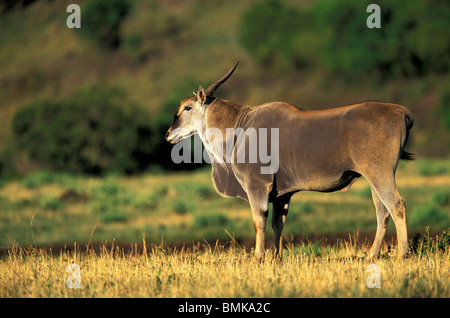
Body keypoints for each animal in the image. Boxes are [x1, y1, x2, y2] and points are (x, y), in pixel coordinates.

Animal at [166, 60, 414, 262]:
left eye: (187, 107)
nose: (169, 134)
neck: (240, 126)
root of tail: (400, 111)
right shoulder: (282, 195)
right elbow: (278, 224)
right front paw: (276, 257)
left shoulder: (258, 186)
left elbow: (259, 220)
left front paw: (258, 258)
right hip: (374, 178)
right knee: (382, 211)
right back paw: (372, 255)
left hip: (381, 174)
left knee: (396, 205)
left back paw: (402, 254)